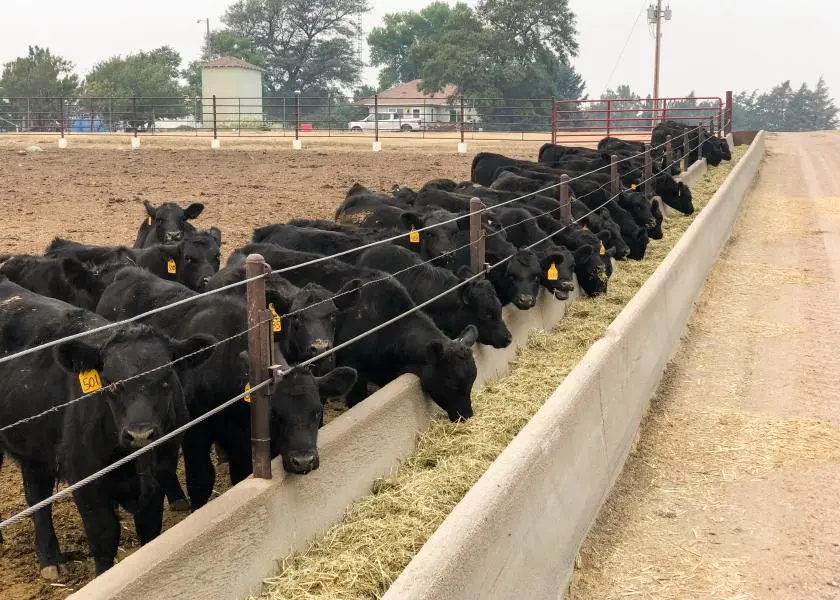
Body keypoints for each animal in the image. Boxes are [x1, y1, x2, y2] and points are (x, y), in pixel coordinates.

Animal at [0, 276, 217, 576]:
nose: (141, 435)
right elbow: (103, 534)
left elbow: (150, 526)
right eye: (110, 383)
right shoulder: (84, 477)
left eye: (166, 380)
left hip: (34, 448)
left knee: (36, 494)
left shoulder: (161, 467)